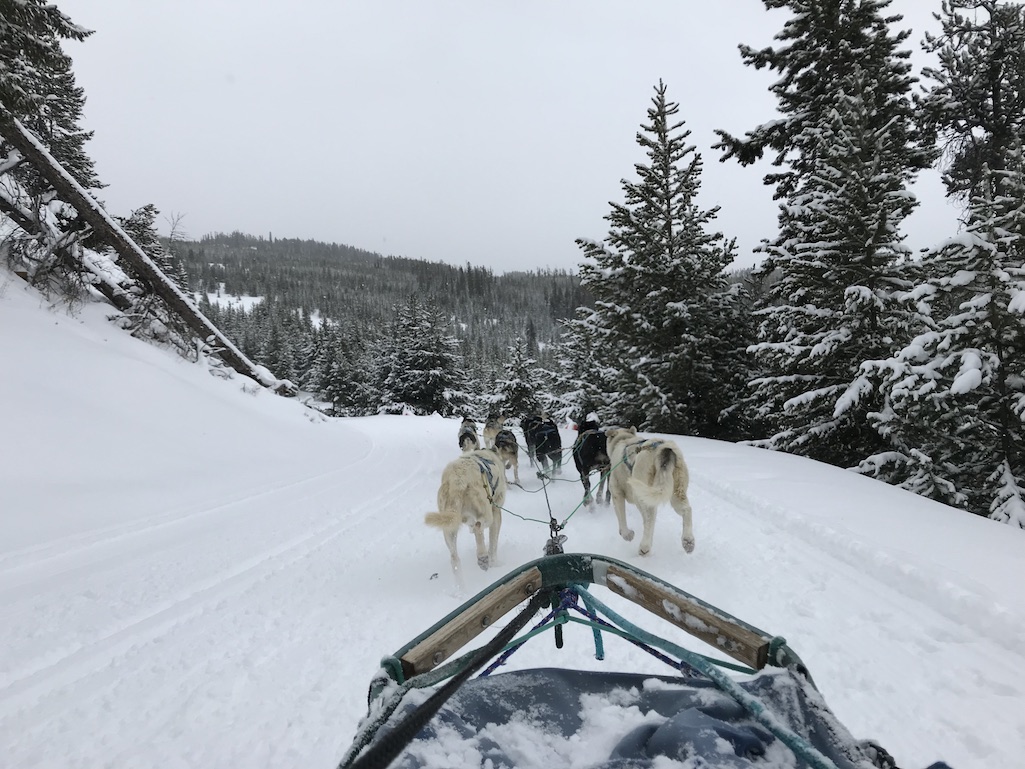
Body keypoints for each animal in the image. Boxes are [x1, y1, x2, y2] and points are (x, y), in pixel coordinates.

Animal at [422, 444, 506, 582]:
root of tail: (457, 479)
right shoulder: (496, 512)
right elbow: (493, 543)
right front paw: (495, 563)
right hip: (487, 514)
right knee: (478, 527)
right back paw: (482, 557)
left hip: (450, 528)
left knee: (454, 560)